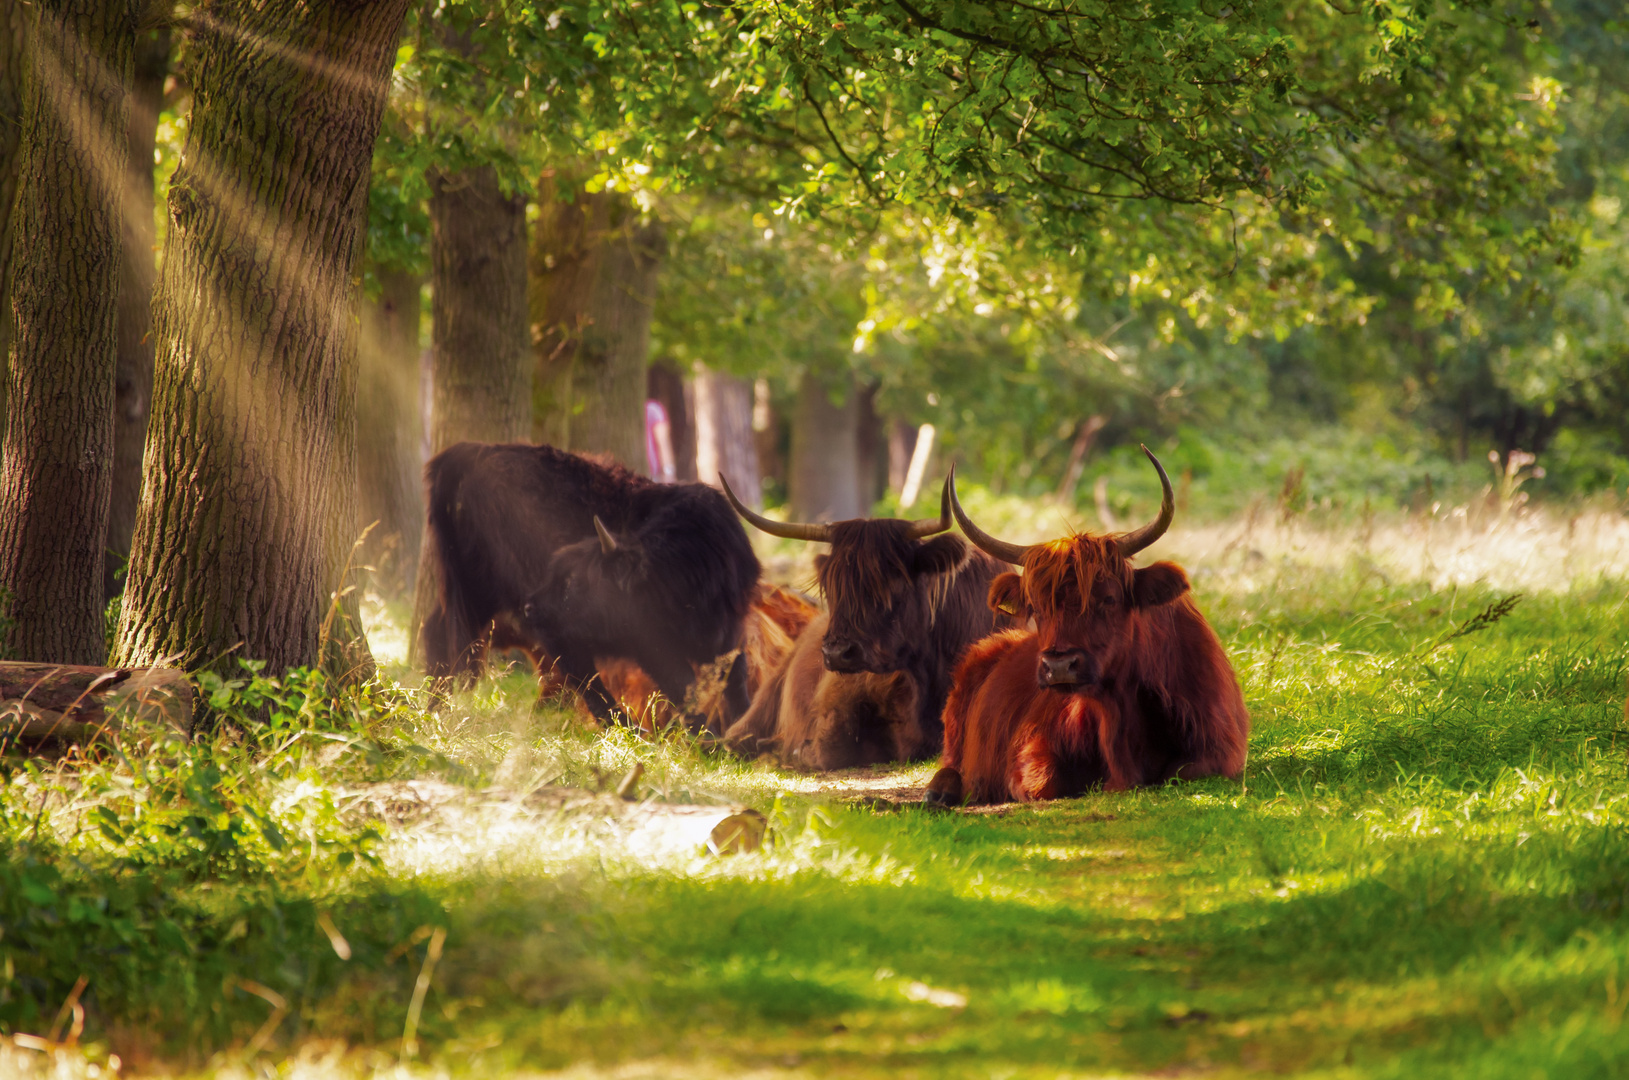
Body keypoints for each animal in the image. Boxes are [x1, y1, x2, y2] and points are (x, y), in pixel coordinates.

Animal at [413, 443, 755, 729]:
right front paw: (711, 740)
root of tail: (468, 454)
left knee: (438, 635)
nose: (532, 607)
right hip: (488, 596)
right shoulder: (654, 647)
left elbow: (735, 686)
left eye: (578, 580)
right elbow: (684, 688)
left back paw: (435, 710)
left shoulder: (729, 633)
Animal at [925, 449, 1251, 811]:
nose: (1058, 666)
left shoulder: (1224, 750)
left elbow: (1187, 770)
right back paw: (940, 792)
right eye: (1036, 607)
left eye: (1108, 598)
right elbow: (1043, 782)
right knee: (950, 762)